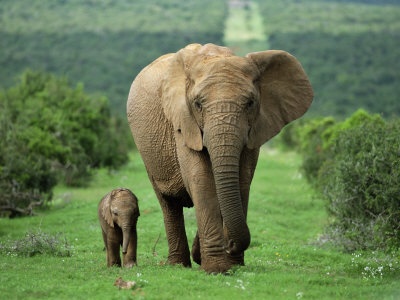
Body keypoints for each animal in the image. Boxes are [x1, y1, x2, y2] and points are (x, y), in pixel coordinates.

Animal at [126, 42, 314, 274]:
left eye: (250, 103)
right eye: (197, 104)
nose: (230, 244)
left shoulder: (255, 129)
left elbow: (242, 180)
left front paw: (233, 265)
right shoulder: (183, 122)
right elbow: (201, 180)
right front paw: (215, 269)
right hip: (148, 154)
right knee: (168, 203)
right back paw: (178, 264)